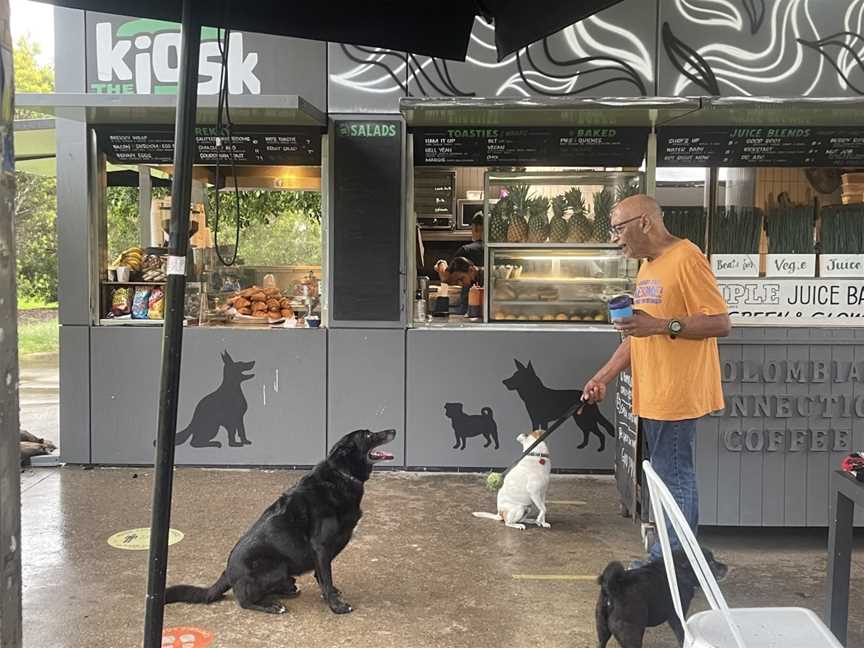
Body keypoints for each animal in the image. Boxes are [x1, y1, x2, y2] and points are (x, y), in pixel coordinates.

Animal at [166, 428, 398, 616]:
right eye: (368, 435)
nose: (394, 430)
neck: (342, 474)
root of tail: (227, 572)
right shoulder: (322, 546)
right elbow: (326, 576)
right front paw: (336, 606)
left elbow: (323, 578)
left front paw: (330, 594)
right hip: (275, 566)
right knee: (244, 601)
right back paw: (271, 605)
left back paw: (287, 588)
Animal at [592, 548, 728, 648]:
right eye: (710, 562)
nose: (726, 567)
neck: (680, 570)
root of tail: (614, 589)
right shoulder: (676, 617)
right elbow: (681, 634)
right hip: (631, 633)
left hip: (602, 629)